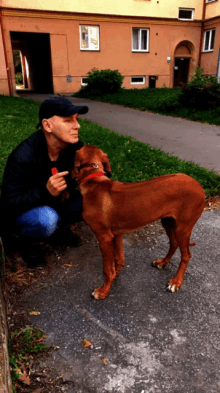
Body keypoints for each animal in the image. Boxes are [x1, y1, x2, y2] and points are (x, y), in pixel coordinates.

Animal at [73, 145, 205, 298]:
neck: (93, 178)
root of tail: (199, 186)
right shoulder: (116, 234)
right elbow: (119, 259)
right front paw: (115, 276)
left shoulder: (104, 237)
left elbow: (107, 268)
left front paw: (103, 291)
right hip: (168, 222)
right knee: (174, 244)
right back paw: (163, 262)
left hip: (183, 228)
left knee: (186, 256)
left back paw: (176, 282)